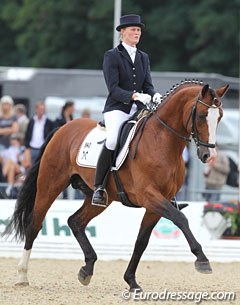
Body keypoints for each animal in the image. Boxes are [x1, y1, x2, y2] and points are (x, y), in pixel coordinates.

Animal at [3, 80, 229, 290]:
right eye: (201, 116)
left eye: (219, 117)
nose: (209, 155)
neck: (161, 142)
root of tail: (62, 128)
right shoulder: (149, 196)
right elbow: (181, 219)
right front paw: (202, 260)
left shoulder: (157, 203)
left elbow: (141, 241)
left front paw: (131, 281)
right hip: (50, 185)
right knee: (35, 224)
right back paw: (22, 276)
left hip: (101, 197)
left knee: (75, 221)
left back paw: (87, 269)